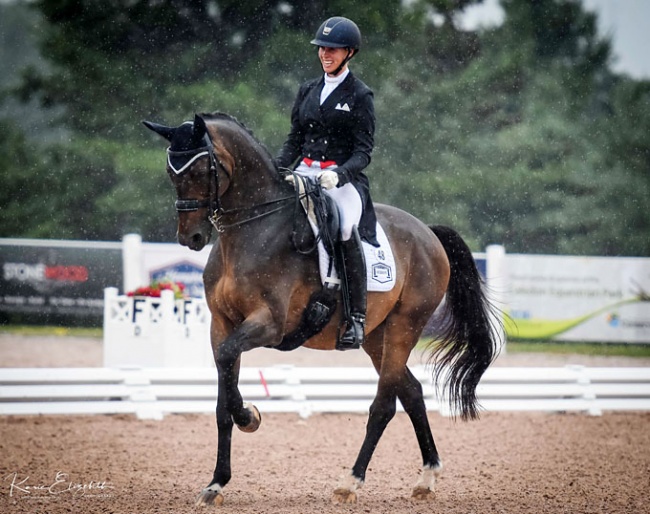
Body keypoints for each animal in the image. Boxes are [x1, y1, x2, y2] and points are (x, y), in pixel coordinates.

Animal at [140, 113, 496, 504]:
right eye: (171, 172)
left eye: (203, 169)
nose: (191, 238)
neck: (254, 230)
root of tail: (428, 233)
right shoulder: (220, 324)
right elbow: (221, 394)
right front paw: (216, 482)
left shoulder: (270, 324)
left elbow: (230, 362)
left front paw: (250, 417)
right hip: (377, 338)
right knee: (412, 393)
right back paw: (426, 478)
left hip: (406, 326)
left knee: (384, 404)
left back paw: (351, 481)